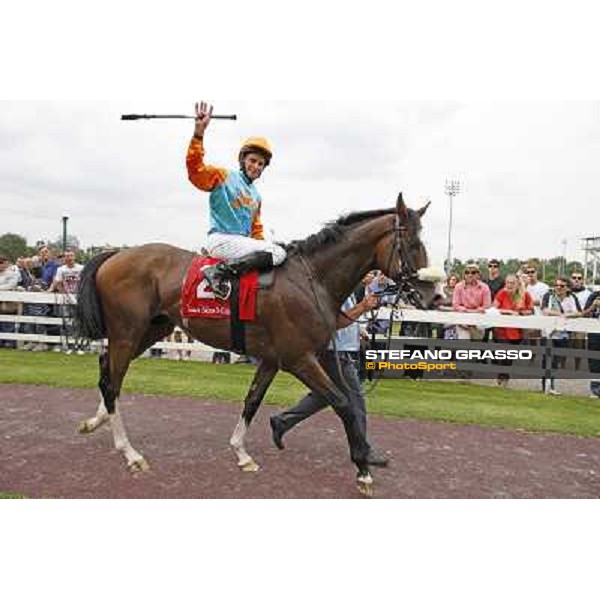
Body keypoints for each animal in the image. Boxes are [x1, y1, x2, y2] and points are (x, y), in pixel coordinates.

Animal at [75, 195, 434, 494]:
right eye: (412, 244)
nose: (433, 295)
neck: (311, 279)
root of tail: (117, 254)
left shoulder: (276, 358)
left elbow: (253, 400)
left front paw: (241, 453)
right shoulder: (299, 358)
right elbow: (343, 402)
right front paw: (362, 471)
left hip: (150, 330)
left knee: (108, 372)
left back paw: (97, 421)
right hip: (127, 332)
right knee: (112, 381)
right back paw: (130, 452)